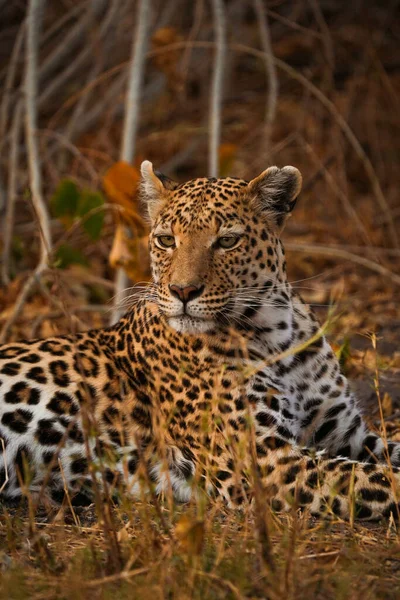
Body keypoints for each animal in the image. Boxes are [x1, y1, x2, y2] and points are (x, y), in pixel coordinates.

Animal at [0, 161, 400, 520]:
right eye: (166, 241)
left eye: (227, 241)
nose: (183, 291)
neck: (277, 334)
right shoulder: (268, 461)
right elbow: (378, 480)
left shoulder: (346, 434)